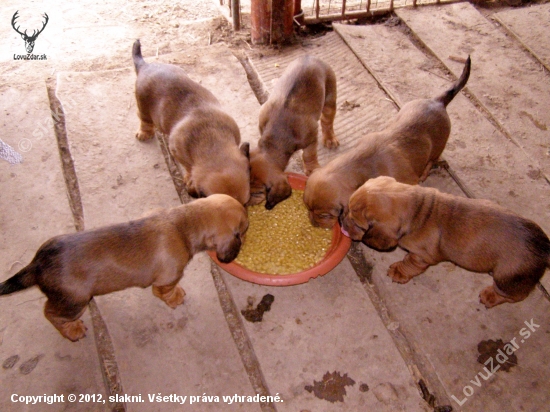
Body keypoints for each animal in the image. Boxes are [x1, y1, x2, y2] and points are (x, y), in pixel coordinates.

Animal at [0, 195, 248, 342]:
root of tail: (37, 264)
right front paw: (176, 297)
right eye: (243, 231)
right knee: (50, 313)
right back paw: (72, 330)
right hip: (75, 302)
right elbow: (166, 291)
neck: (183, 223)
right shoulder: (167, 279)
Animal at [134, 39, 252, 204]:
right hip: (143, 107)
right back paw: (144, 133)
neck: (212, 142)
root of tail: (145, 66)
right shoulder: (177, 152)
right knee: (144, 120)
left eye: (246, 203)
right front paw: (189, 178)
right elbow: (189, 168)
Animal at [250, 55, 340, 209]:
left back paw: (329, 139)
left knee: (327, 121)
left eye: (257, 192)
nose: (246, 203)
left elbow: (308, 155)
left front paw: (312, 170)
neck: (275, 136)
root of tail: (310, 57)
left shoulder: (311, 139)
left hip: (329, 97)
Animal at [304, 56, 472, 229]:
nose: (313, 223)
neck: (363, 162)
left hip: (437, 147)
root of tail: (438, 102)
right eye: (307, 208)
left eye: (325, 215)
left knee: (432, 160)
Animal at [344, 175, 550, 308]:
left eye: (357, 223)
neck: (417, 210)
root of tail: (544, 248)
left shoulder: (420, 257)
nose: (340, 219)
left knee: (516, 295)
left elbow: (408, 263)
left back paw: (490, 296)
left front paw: (398, 272)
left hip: (506, 279)